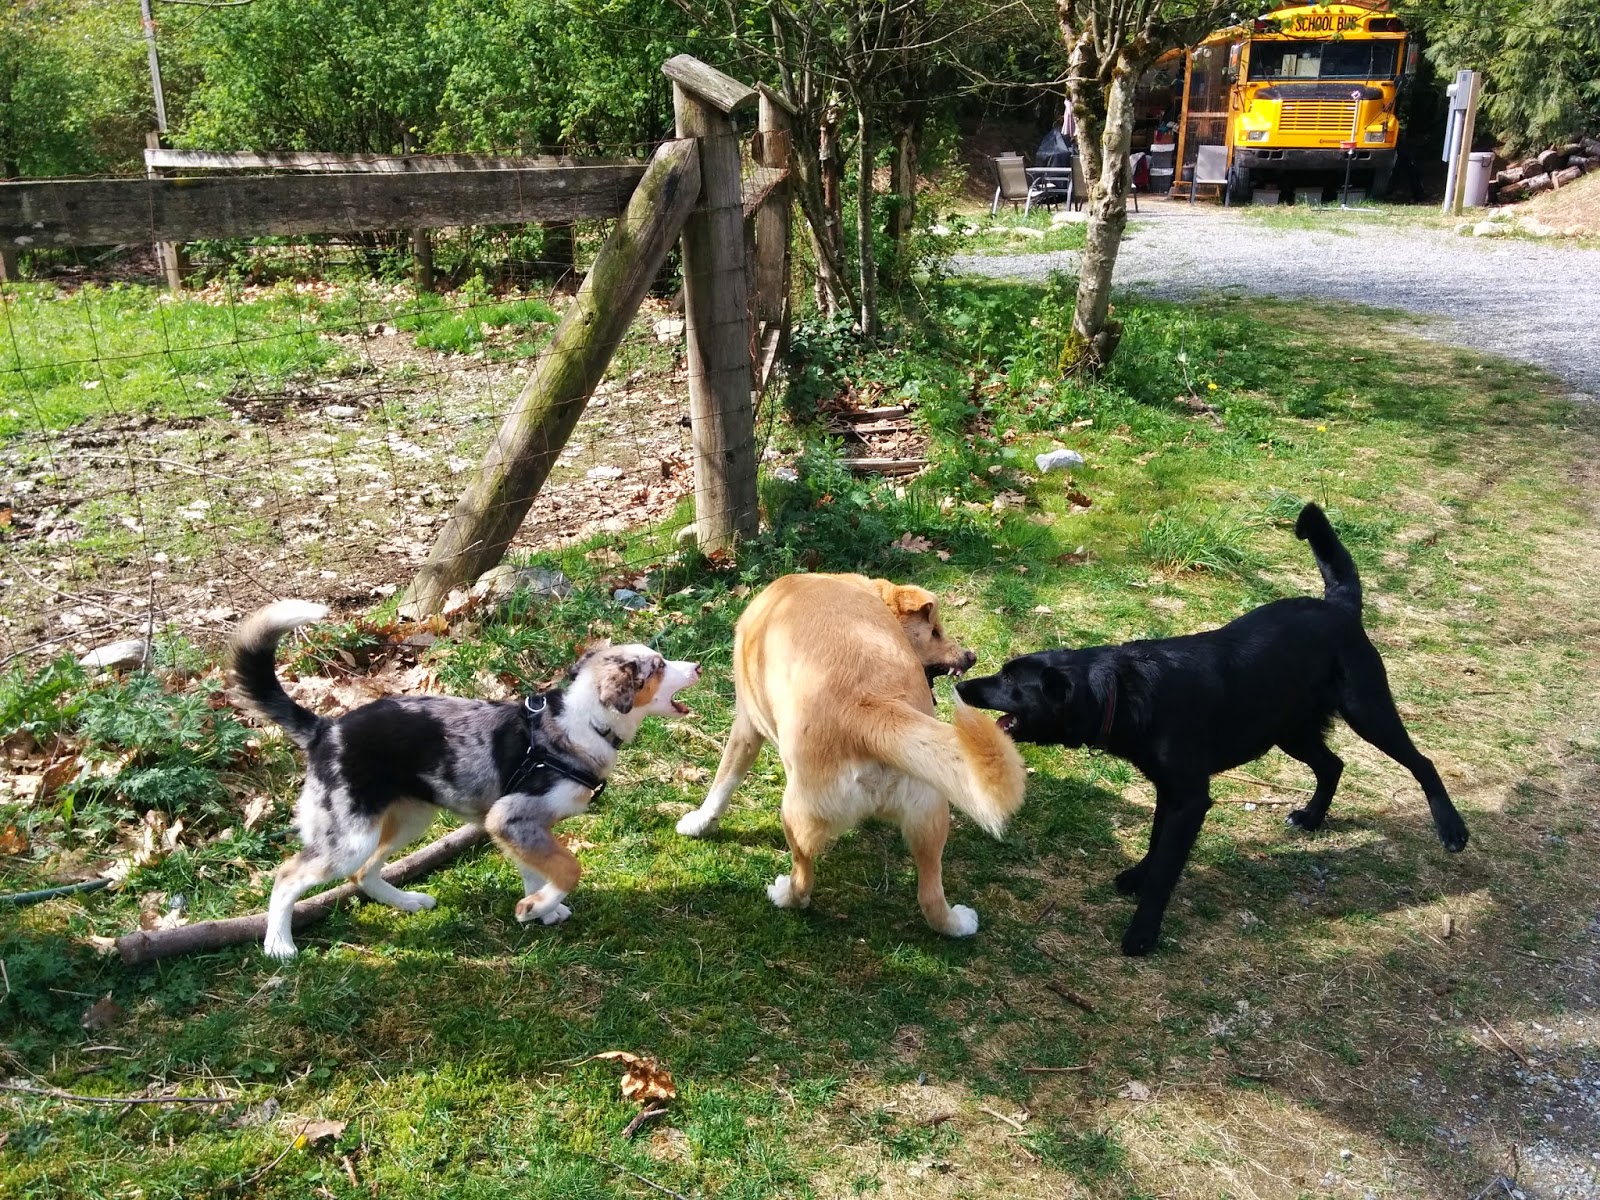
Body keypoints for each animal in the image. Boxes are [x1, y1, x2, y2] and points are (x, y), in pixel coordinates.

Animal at [229, 600, 700, 959]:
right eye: (658, 666)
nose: (696, 665)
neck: (585, 723)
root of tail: (324, 729)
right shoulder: (512, 817)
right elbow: (568, 868)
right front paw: (536, 907)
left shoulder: (520, 825)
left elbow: (537, 868)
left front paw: (540, 910)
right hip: (349, 837)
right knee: (289, 876)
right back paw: (279, 945)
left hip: (408, 820)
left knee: (362, 875)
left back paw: (407, 901)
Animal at [675, 573, 1026, 936]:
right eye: (936, 631)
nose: (971, 656)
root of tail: (871, 708)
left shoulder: (746, 726)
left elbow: (722, 783)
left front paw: (698, 823)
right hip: (930, 817)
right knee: (930, 895)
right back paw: (958, 924)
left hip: (796, 815)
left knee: (804, 879)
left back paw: (784, 894)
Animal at [956, 504, 1470, 956]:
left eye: (1009, 681)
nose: (962, 683)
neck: (1122, 689)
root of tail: (1338, 607)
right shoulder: (1169, 793)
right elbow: (1156, 842)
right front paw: (1138, 876)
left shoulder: (1190, 799)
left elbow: (1167, 867)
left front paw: (1143, 932)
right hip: (1289, 730)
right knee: (1333, 764)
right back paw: (1310, 818)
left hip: (1368, 712)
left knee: (1422, 762)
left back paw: (1452, 829)